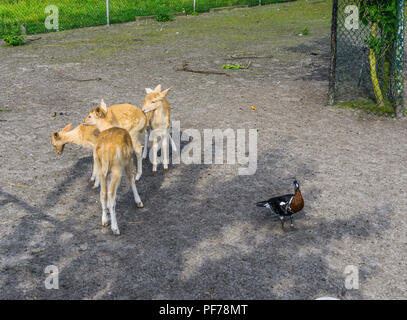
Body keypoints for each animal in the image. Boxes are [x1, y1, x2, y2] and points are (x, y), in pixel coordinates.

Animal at [83, 107, 144, 235]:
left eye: (90, 115)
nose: (83, 121)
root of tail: (105, 152)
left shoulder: (106, 173)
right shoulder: (128, 160)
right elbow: (131, 179)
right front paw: (139, 202)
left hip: (102, 170)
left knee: (103, 194)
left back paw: (105, 220)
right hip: (117, 169)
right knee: (111, 196)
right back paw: (115, 228)